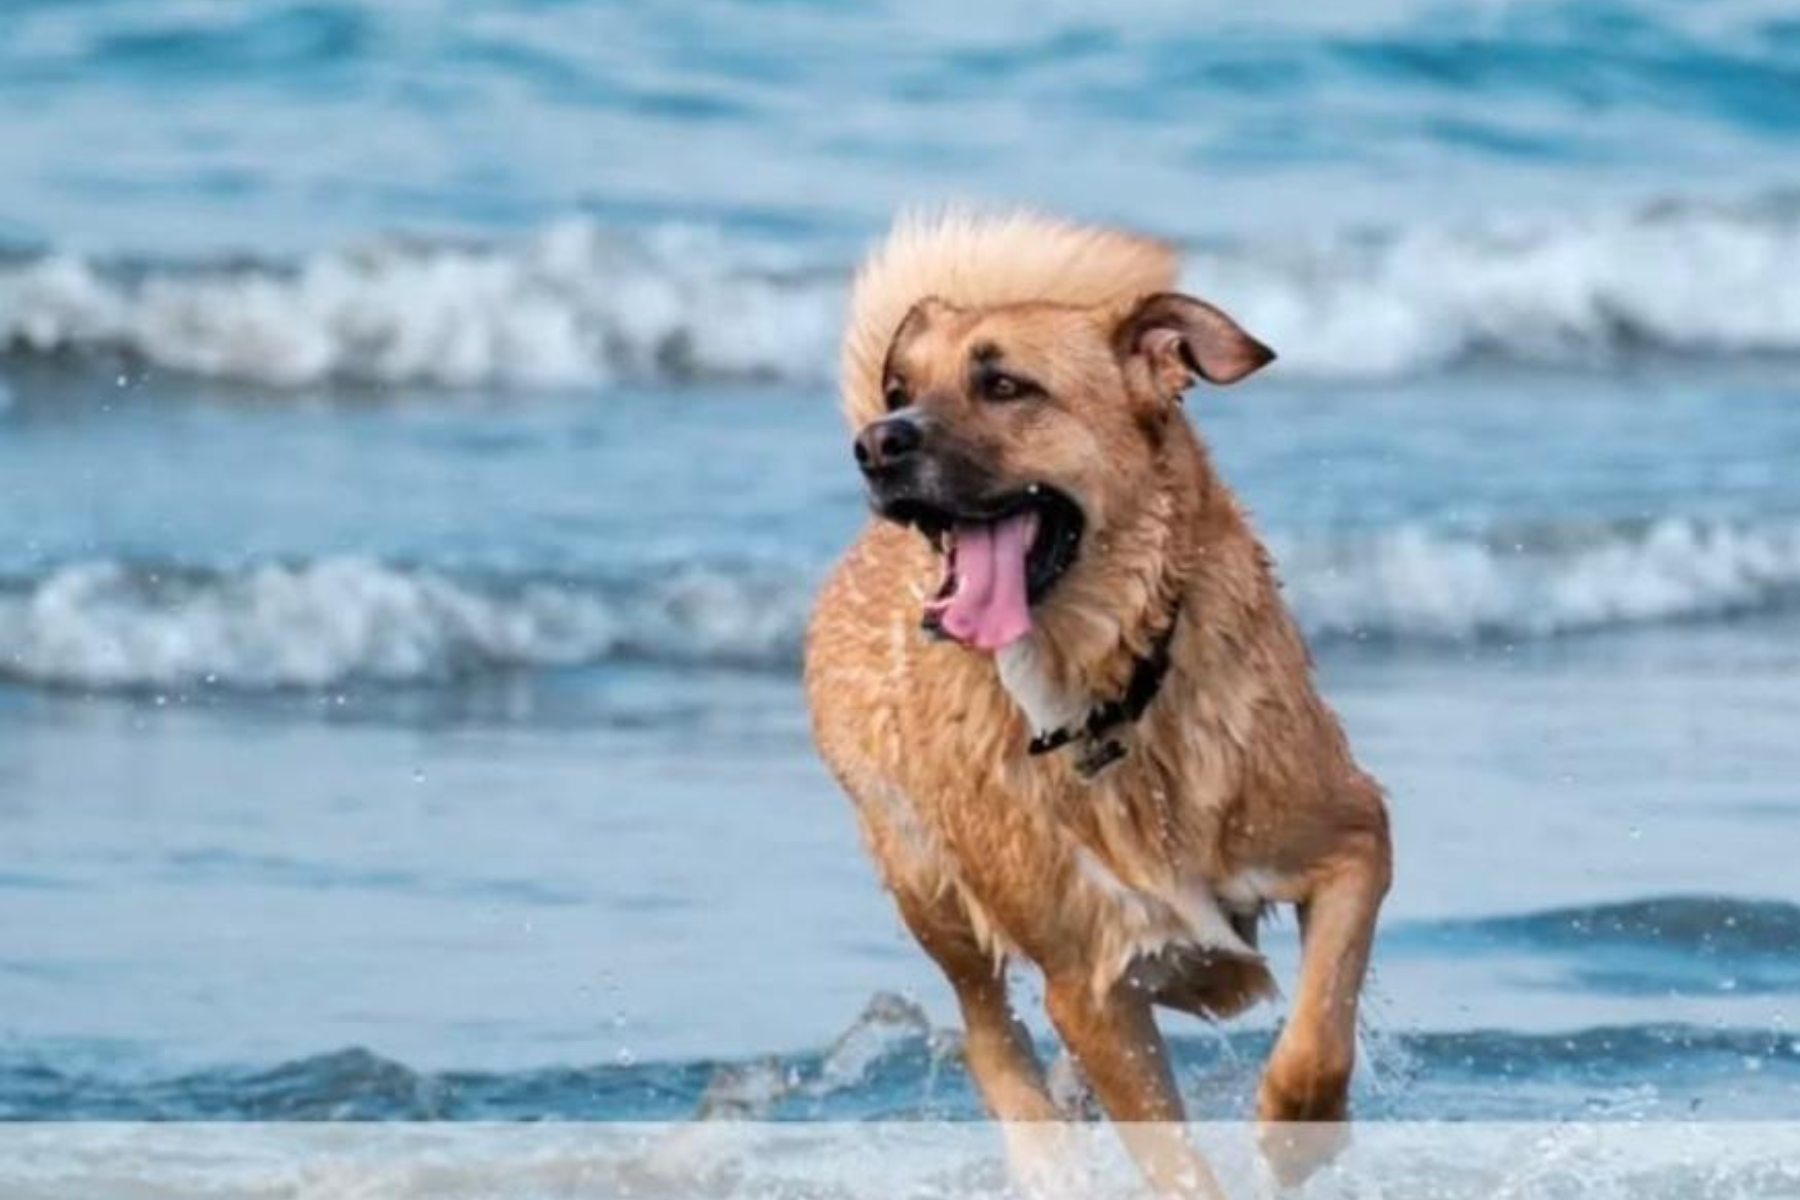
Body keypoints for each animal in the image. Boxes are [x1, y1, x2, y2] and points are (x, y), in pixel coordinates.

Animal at [806, 211, 1389, 1194]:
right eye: (901, 387)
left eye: (1005, 385)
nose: (879, 441)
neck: (1110, 699)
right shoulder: (1089, 985)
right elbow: (1175, 1163)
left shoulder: (1349, 835)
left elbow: (1319, 1032)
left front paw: (1294, 1130)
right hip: (926, 886)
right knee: (988, 1033)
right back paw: (1045, 1151)